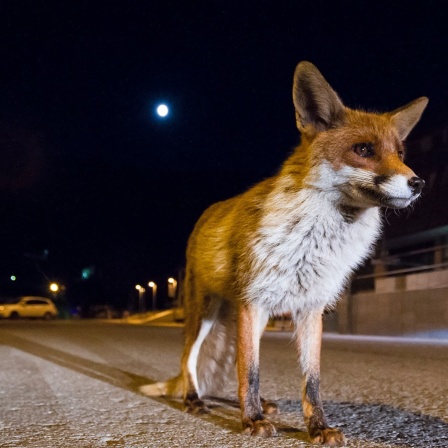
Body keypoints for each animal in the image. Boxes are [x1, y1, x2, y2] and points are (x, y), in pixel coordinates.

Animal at [141, 62, 428, 444]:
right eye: (364, 149)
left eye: (400, 154)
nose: (418, 183)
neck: (313, 241)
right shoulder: (254, 302)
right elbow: (250, 370)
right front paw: (251, 421)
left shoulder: (310, 309)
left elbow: (311, 380)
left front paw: (317, 426)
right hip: (205, 312)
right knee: (190, 360)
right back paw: (194, 399)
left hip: (249, 319)